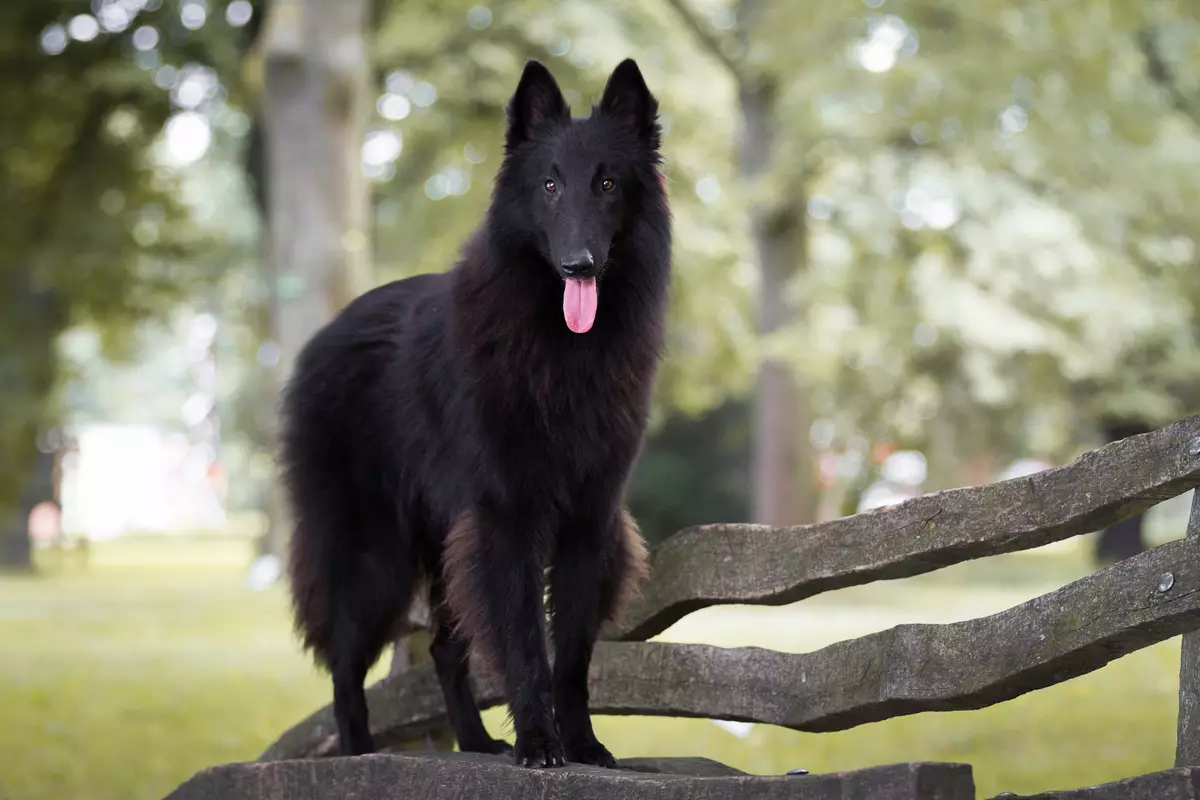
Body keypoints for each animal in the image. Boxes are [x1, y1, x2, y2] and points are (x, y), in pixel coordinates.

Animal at [283, 57, 676, 767]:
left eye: (607, 183)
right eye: (549, 184)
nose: (580, 265)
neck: (561, 347)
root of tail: (328, 331)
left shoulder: (589, 521)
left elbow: (570, 655)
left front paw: (581, 743)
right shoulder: (507, 519)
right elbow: (523, 644)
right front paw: (539, 743)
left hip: (439, 541)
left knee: (443, 646)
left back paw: (472, 741)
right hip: (375, 553)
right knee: (345, 665)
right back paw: (358, 754)